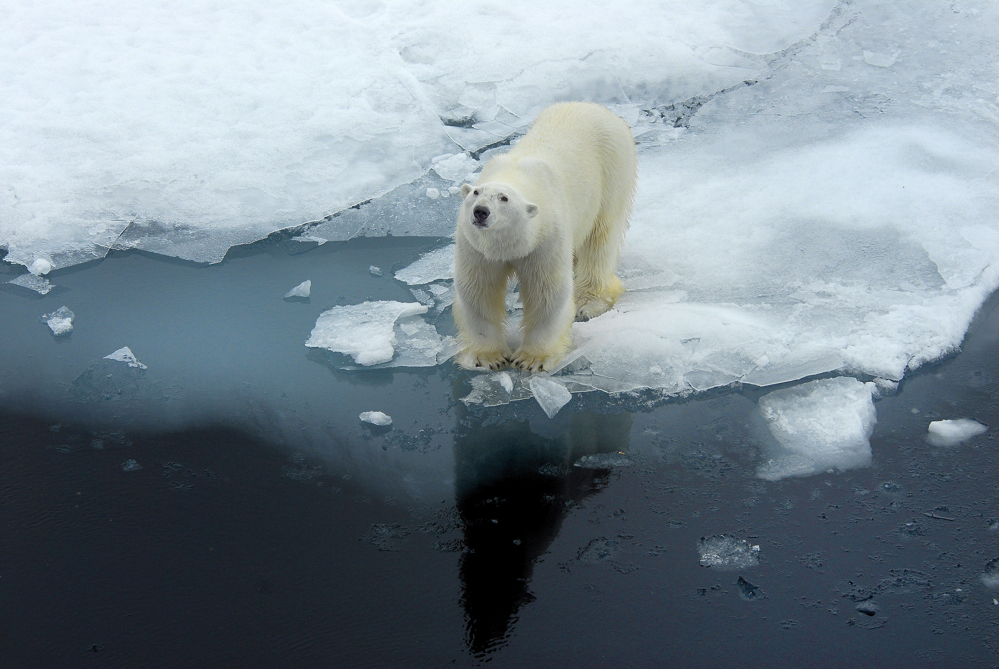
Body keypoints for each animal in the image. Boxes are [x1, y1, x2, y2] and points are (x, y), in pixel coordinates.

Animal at [456, 102, 636, 374]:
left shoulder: (546, 237)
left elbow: (547, 293)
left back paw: (588, 302)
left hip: (612, 168)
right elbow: (478, 291)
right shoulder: (475, 246)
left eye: (504, 198)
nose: (480, 211)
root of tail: (595, 107)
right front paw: (489, 357)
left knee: (601, 237)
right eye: (475, 193)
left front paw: (531, 359)